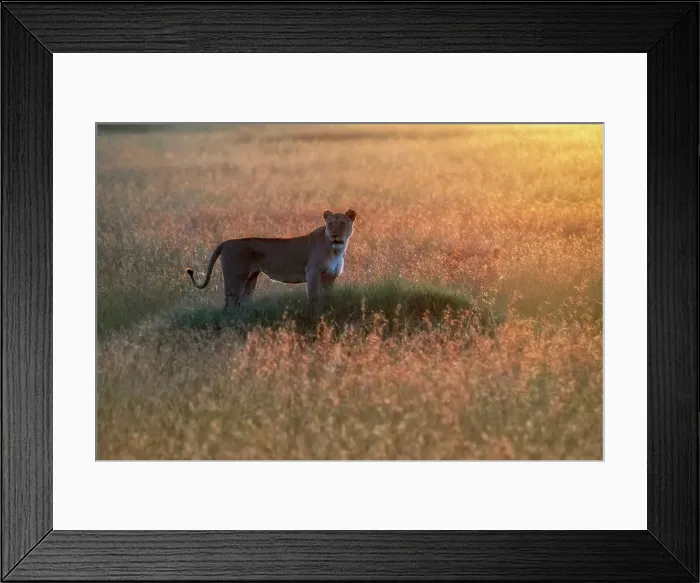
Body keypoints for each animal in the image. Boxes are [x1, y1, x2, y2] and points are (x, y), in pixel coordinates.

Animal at [186, 208, 357, 313]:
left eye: (342, 224)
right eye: (330, 224)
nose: (334, 235)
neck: (336, 249)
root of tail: (226, 242)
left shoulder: (330, 277)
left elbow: (328, 297)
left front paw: (326, 313)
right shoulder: (313, 272)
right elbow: (314, 297)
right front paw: (314, 316)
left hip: (250, 279)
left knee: (242, 302)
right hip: (235, 278)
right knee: (230, 303)